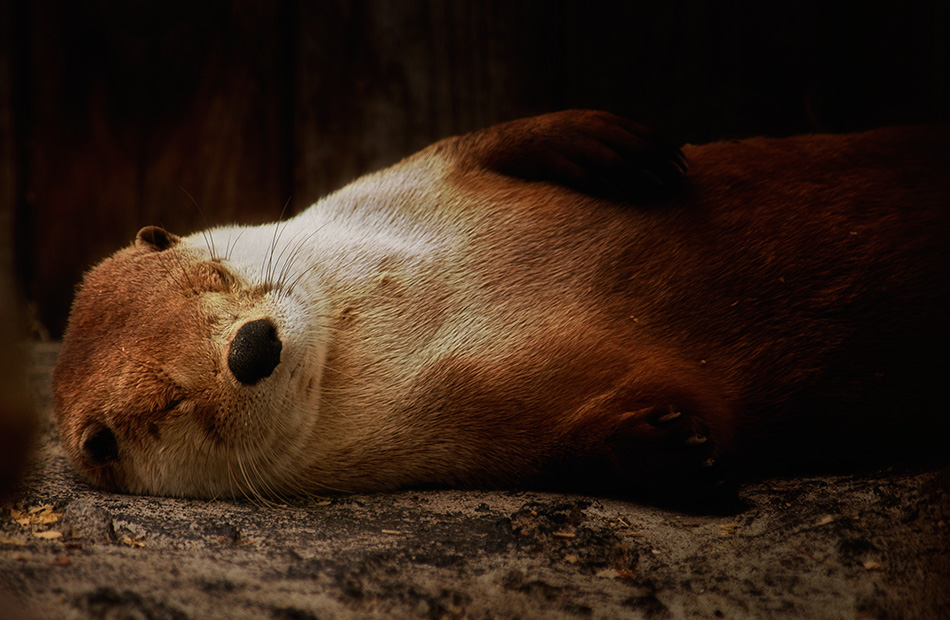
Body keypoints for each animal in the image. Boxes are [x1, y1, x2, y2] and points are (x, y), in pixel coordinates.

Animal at [54, 111, 950, 506]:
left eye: (215, 276)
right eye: (172, 401)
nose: (251, 348)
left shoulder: (409, 178)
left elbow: (484, 140)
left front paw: (600, 141)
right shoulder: (490, 434)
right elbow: (587, 444)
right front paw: (671, 451)